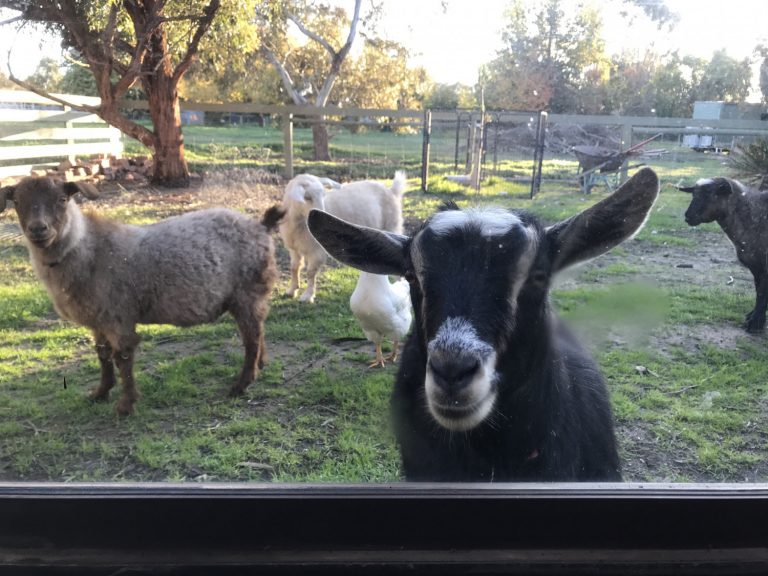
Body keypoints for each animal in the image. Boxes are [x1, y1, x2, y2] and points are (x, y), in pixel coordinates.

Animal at [1, 176, 284, 415]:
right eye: (17, 201)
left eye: (62, 199)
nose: (38, 229)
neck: (88, 250)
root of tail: (261, 226)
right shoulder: (98, 320)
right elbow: (102, 355)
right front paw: (99, 393)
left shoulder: (117, 316)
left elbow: (122, 358)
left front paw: (126, 405)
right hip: (251, 296)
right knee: (258, 330)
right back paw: (260, 365)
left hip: (247, 292)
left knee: (251, 338)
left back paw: (241, 384)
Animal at [279, 171, 406, 303]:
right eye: (307, 197)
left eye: (323, 195)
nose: (321, 214)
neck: (298, 224)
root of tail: (392, 190)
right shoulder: (294, 249)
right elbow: (294, 268)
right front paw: (291, 290)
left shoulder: (316, 250)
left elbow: (310, 273)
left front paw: (307, 296)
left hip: (391, 225)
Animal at [679, 177, 768, 332]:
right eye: (694, 194)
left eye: (711, 194)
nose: (688, 217)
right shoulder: (756, 266)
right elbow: (759, 292)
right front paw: (753, 317)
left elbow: (763, 293)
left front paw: (755, 324)